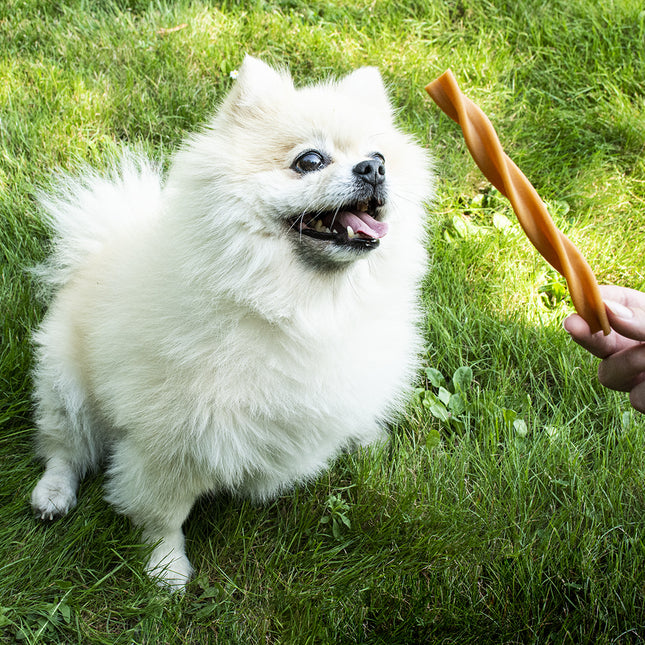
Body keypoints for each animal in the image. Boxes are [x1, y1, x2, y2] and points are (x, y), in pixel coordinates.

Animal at [30, 56, 432, 588]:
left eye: (379, 154)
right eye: (309, 161)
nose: (374, 169)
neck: (295, 307)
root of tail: (93, 253)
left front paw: (365, 435)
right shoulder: (170, 443)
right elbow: (163, 514)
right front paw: (166, 569)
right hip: (66, 388)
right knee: (64, 448)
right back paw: (53, 493)